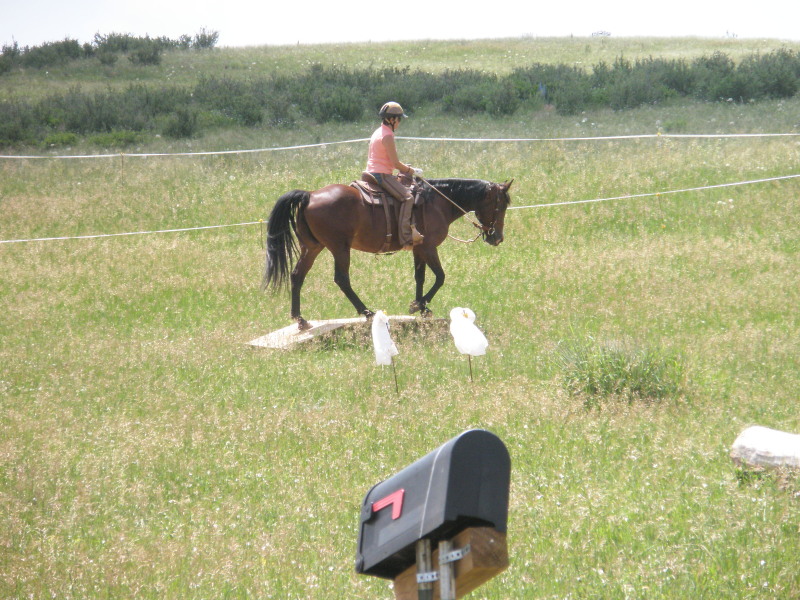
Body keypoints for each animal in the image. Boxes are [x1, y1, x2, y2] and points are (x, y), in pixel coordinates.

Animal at [262, 176, 512, 330]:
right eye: (501, 205)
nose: (497, 238)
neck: (438, 201)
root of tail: (310, 195)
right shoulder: (429, 247)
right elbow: (440, 277)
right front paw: (419, 305)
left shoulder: (419, 249)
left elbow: (420, 277)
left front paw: (420, 306)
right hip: (339, 248)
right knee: (341, 279)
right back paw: (367, 312)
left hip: (312, 247)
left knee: (297, 276)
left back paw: (300, 319)